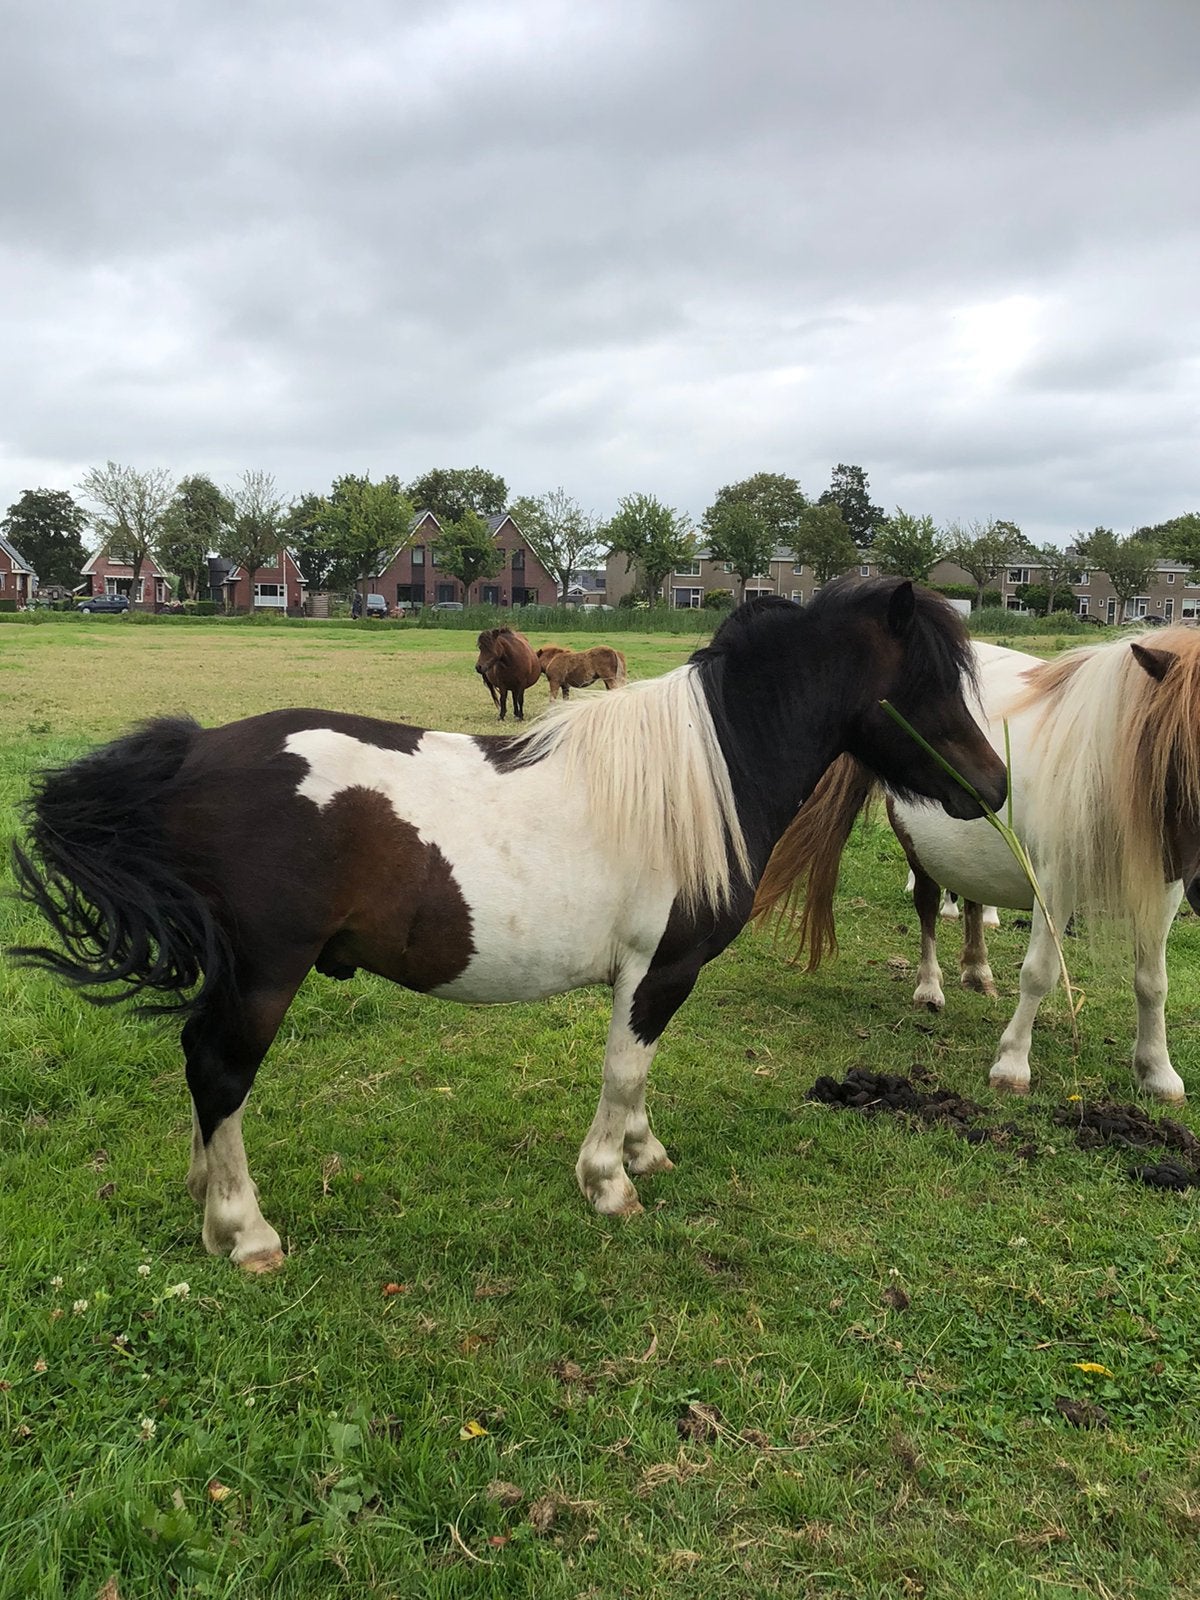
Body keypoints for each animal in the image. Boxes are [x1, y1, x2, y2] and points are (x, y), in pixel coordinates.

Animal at [11, 579, 1005, 1273]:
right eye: (926, 683)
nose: (992, 788)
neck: (699, 777)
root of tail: (192, 753)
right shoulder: (659, 970)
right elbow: (624, 1068)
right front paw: (608, 1183)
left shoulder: (651, 979)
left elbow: (639, 1076)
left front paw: (643, 1153)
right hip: (264, 975)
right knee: (219, 1071)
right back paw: (244, 1230)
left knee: (200, 1069)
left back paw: (203, 1192)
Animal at [754, 631, 1200, 1104]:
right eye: (1184, 747)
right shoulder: (1055, 883)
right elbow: (1039, 973)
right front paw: (1012, 1064)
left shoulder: (1164, 890)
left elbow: (1152, 982)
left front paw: (1157, 1071)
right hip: (920, 853)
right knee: (928, 908)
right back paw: (929, 987)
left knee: (971, 898)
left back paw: (976, 970)